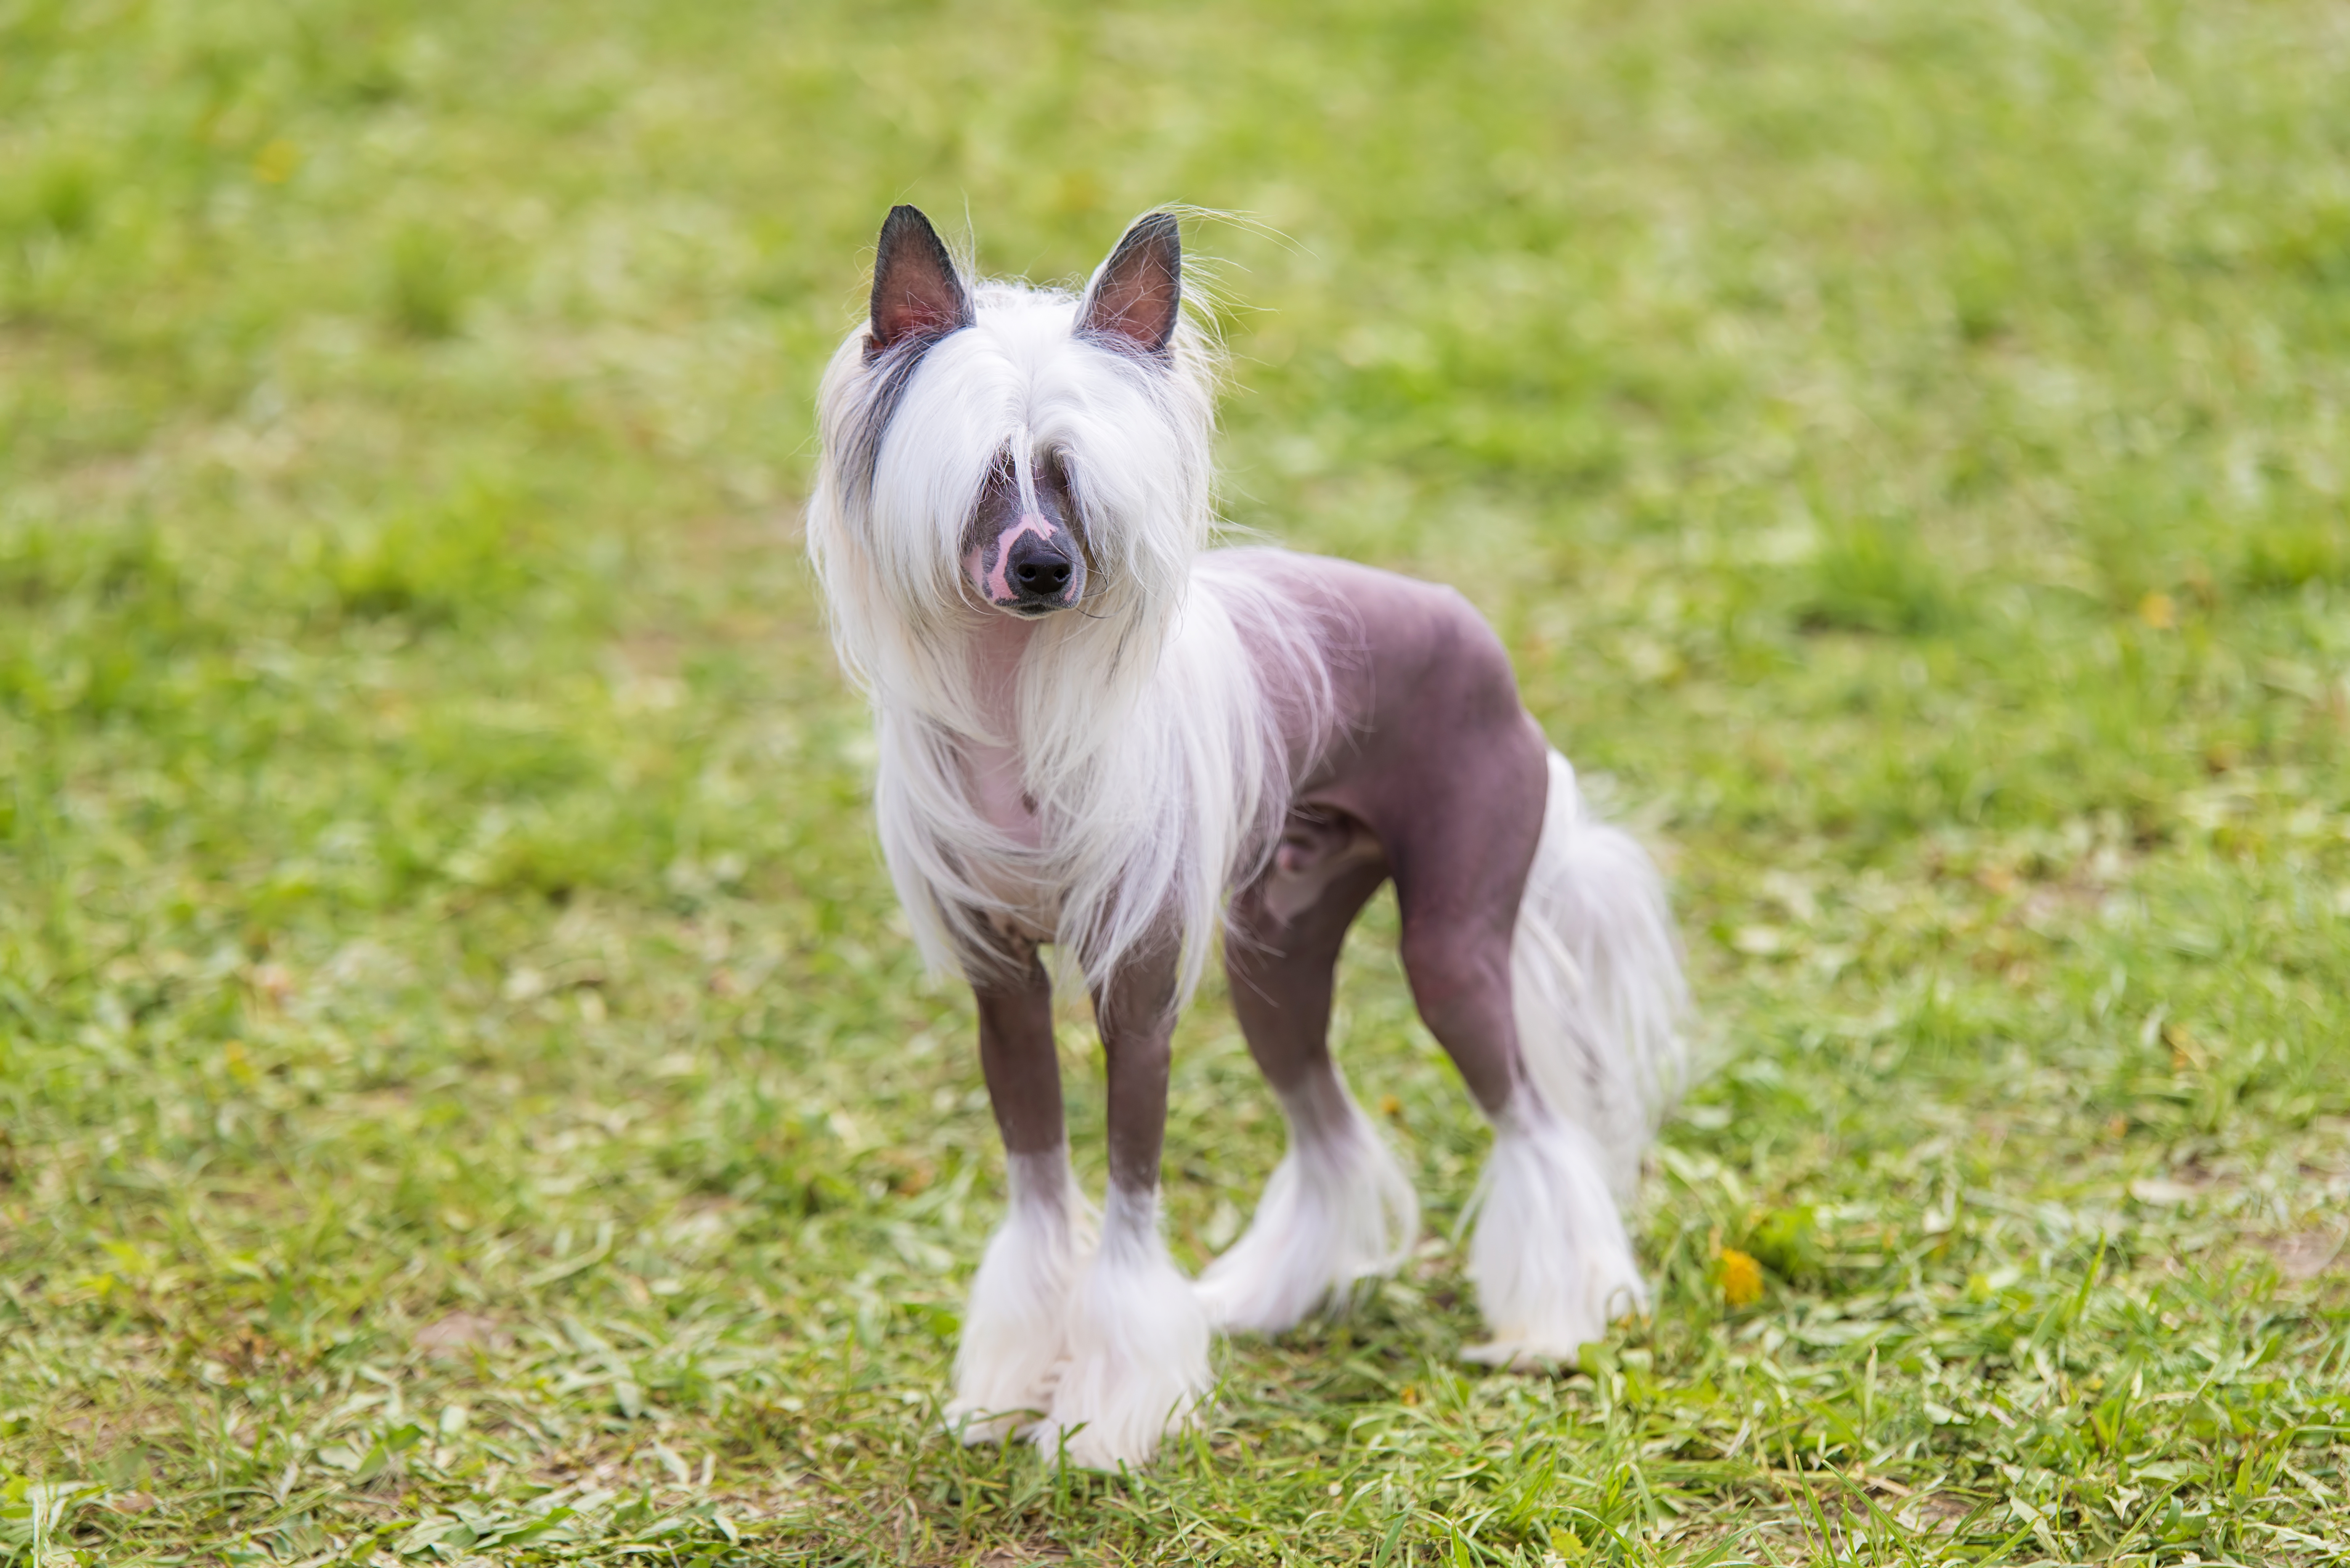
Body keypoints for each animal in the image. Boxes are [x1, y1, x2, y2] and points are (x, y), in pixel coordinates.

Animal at [813, 206, 1692, 1476]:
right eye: (987, 476)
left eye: (1078, 480)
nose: (1045, 565)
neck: (1020, 704)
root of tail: (1499, 665)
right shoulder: (1004, 989)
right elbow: (1040, 1193)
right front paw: (1012, 1391)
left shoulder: (1134, 1000)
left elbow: (1127, 1206)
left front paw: (1105, 1419)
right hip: (1275, 955)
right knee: (1326, 1125)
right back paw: (1278, 1297)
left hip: (1450, 949)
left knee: (1532, 1122)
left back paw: (1556, 1321)